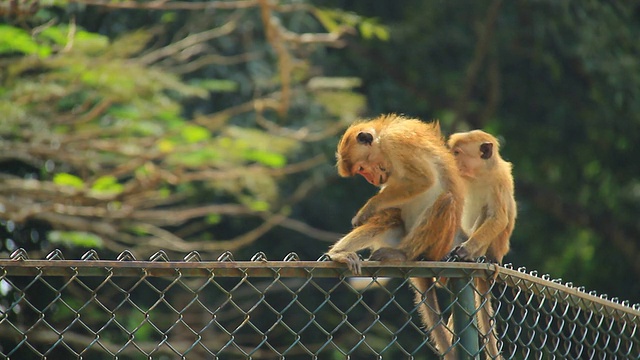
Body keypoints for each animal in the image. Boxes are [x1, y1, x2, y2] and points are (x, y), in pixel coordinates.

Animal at [328, 114, 462, 356]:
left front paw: (368, 207)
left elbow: (423, 180)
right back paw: (339, 253)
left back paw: (402, 255)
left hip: (432, 247)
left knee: (446, 201)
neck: (382, 136)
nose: (372, 180)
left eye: (362, 168)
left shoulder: (396, 143)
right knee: (390, 217)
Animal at [448, 130, 516, 360]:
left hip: (494, 248)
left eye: (457, 153)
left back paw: (476, 256)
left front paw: (466, 250)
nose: (450, 158)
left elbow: (498, 219)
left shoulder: (499, 182)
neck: (477, 175)